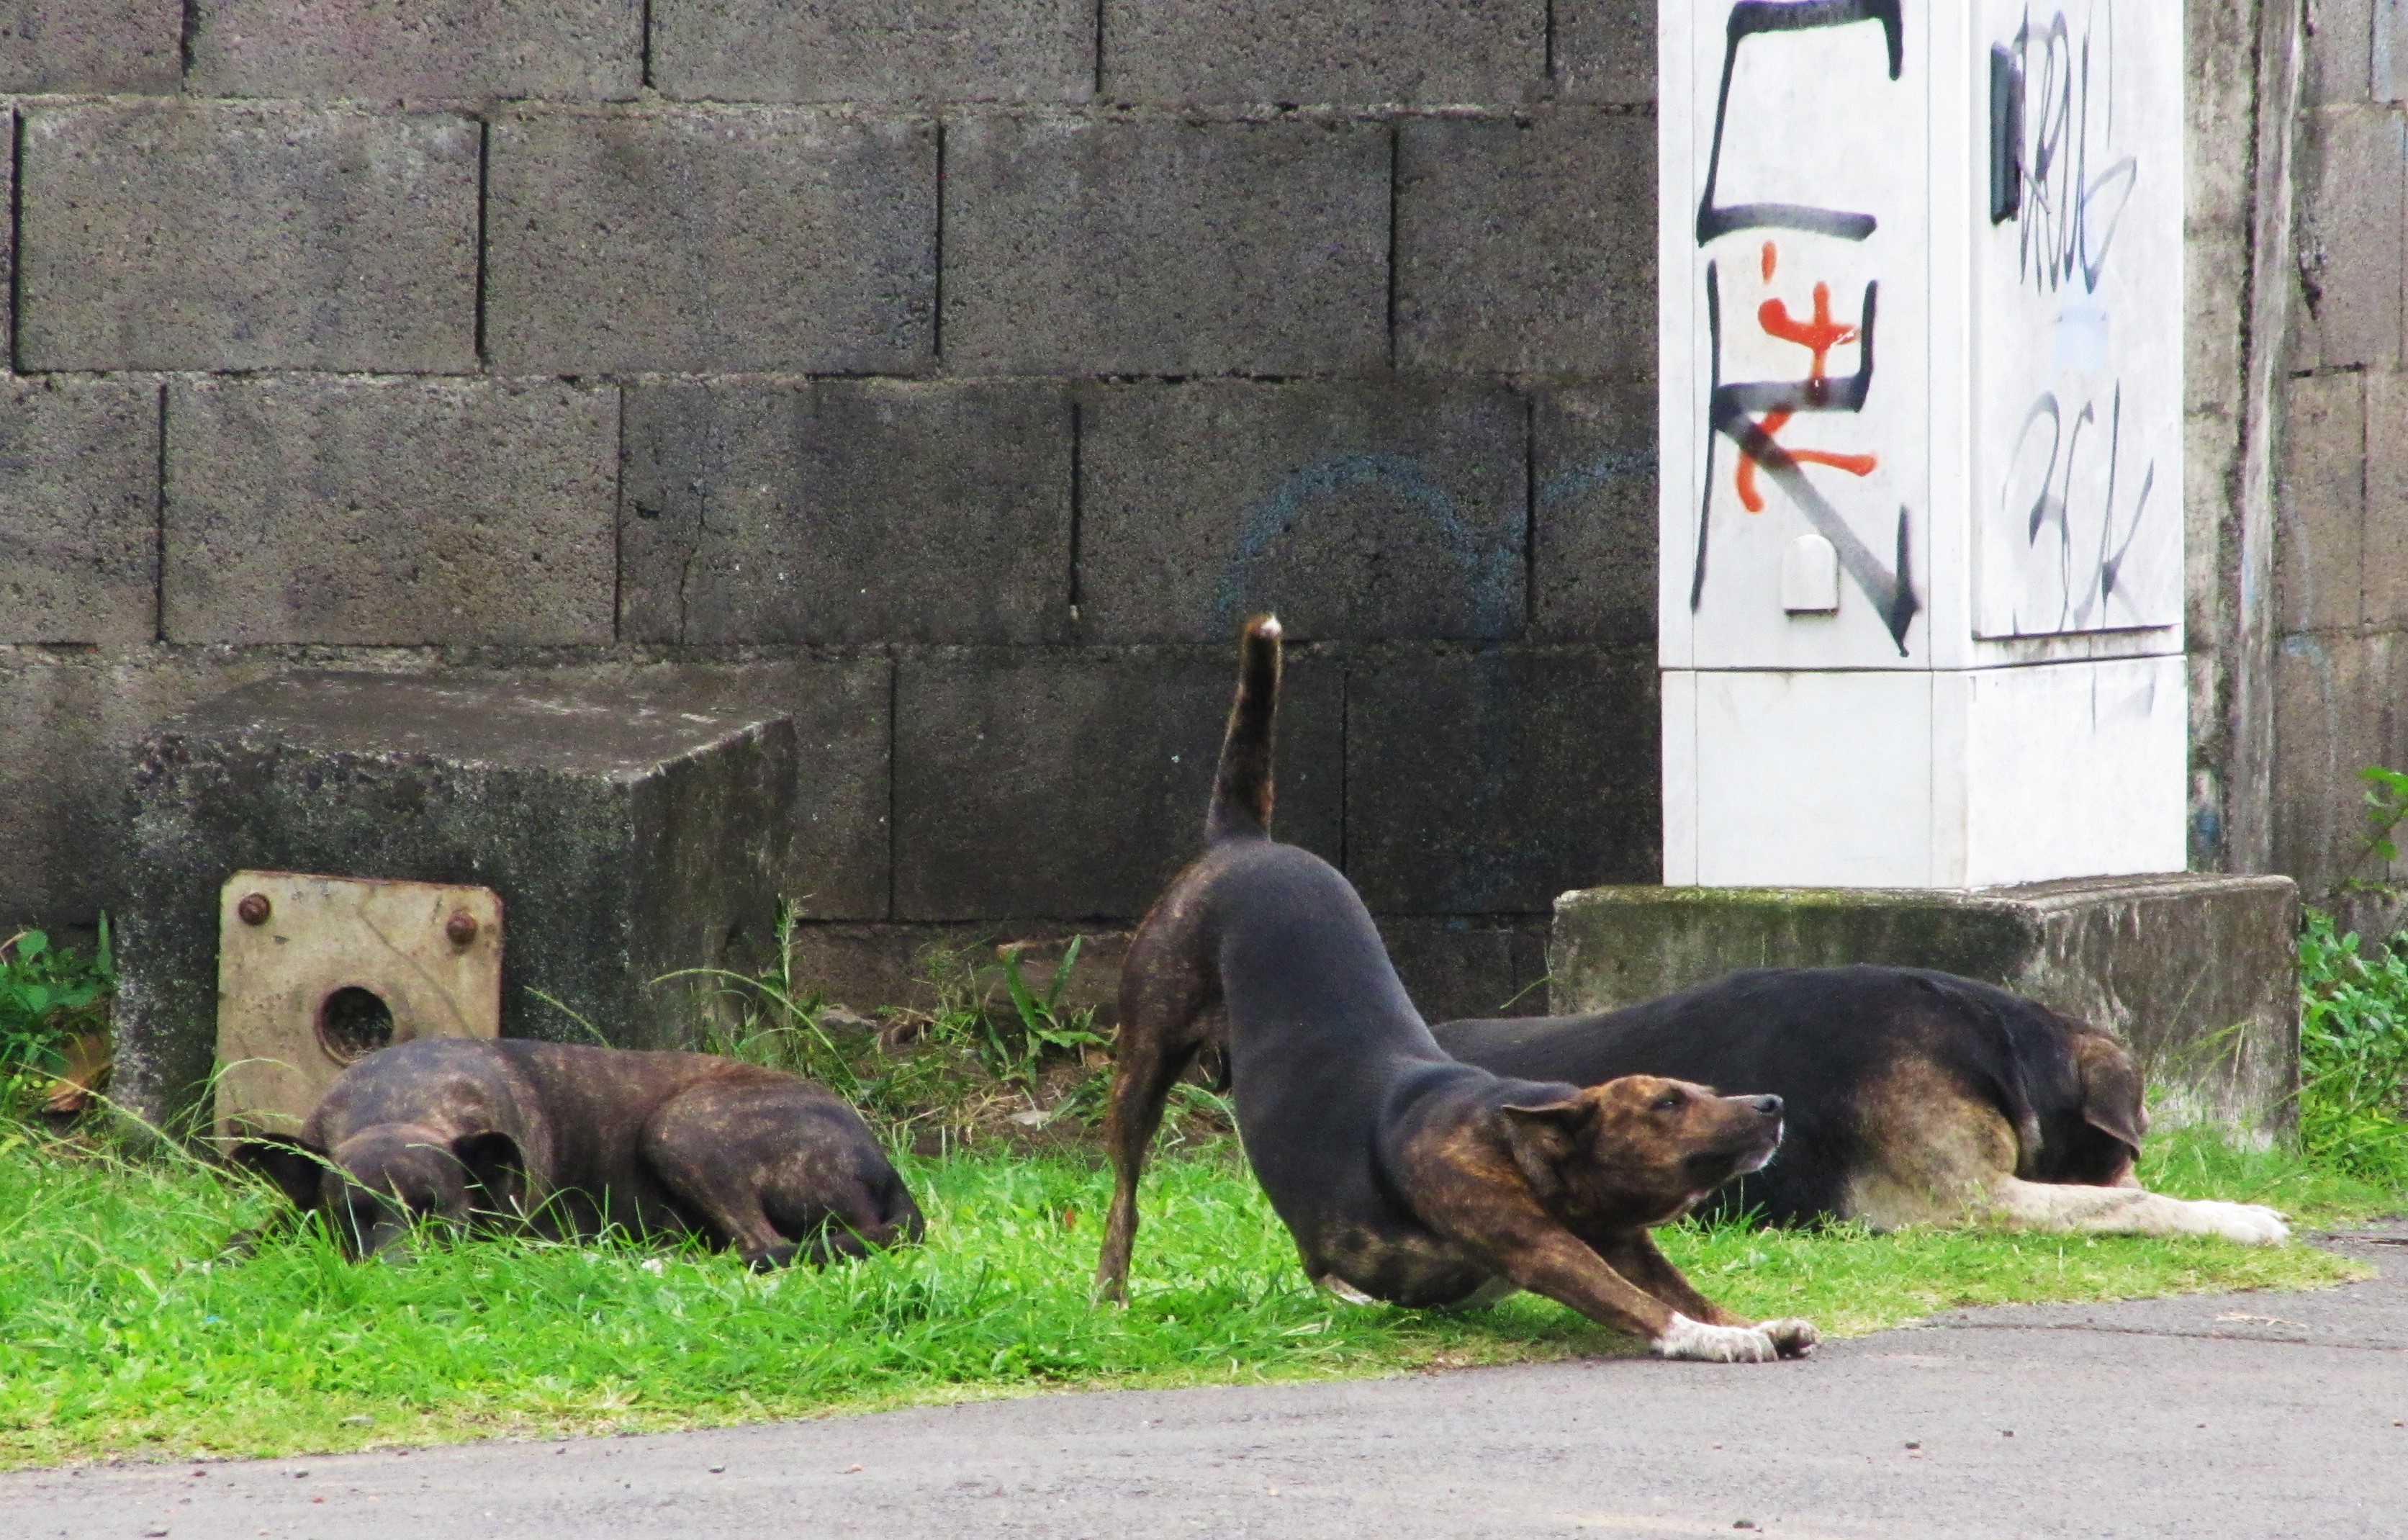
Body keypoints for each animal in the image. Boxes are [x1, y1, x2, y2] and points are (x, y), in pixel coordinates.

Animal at [230, 1036, 919, 1263]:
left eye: (441, 1218)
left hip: (682, 1126)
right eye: (352, 1218)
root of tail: (885, 1170)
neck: (400, 1102)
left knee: (762, 1245)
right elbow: (244, 1235)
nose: (400, 1273)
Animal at [1103, 614, 1810, 1359]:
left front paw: (1748, 1322)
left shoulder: (1625, 1240)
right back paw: (1110, 1297)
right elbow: (1637, 1303)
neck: (1522, 1143)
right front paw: (1711, 1339)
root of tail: (1241, 841)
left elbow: (1681, 1289)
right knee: (1124, 1198)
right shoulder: (1534, 1243)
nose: (1770, 1102)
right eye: (1667, 1103)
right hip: (1143, 1061)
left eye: (1703, 1088)